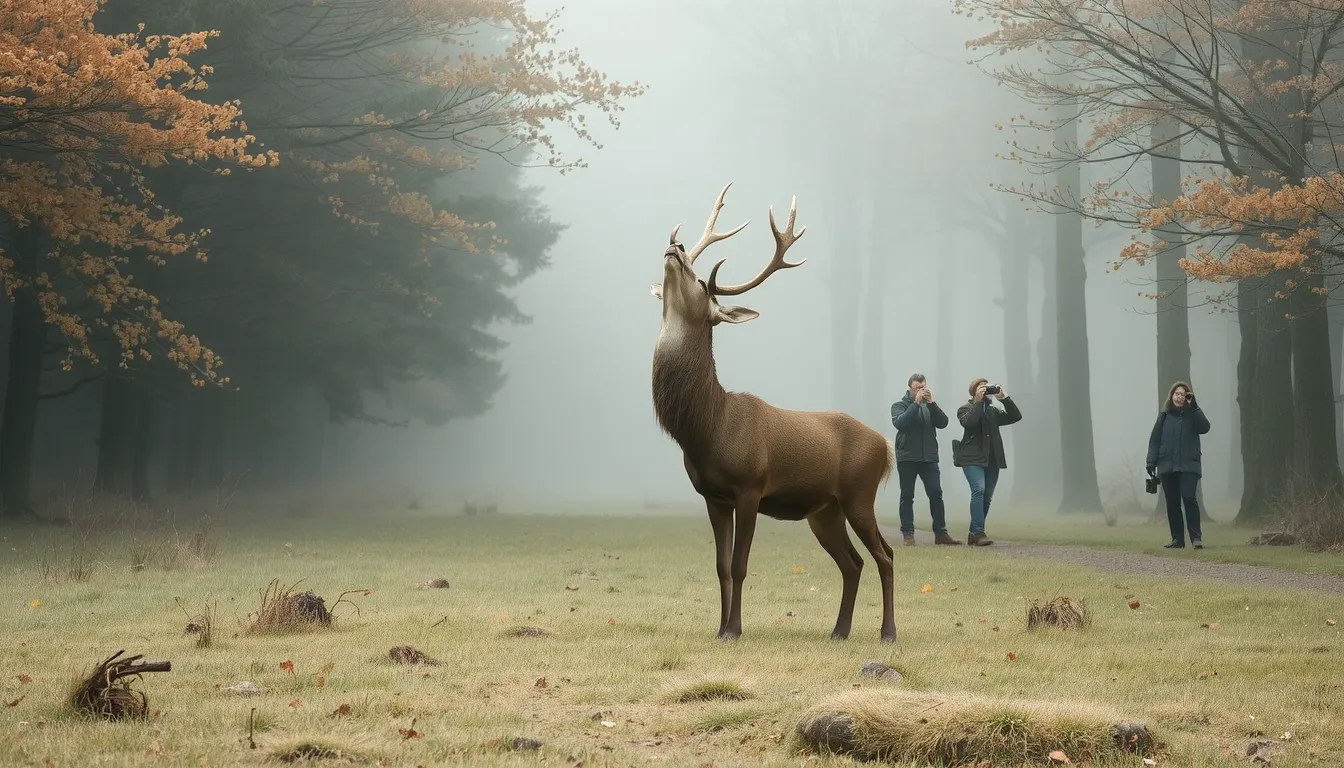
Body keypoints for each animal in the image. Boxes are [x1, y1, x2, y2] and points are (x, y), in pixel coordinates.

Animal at [650, 183, 898, 644]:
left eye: (700, 281)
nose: (676, 247)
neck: (708, 429)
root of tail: (886, 447)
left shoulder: (750, 486)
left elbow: (741, 565)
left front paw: (734, 630)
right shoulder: (712, 496)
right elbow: (720, 566)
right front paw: (719, 629)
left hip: (860, 493)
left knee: (884, 555)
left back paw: (888, 633)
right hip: (824, 510)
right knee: (852, 562)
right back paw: (839, 631)